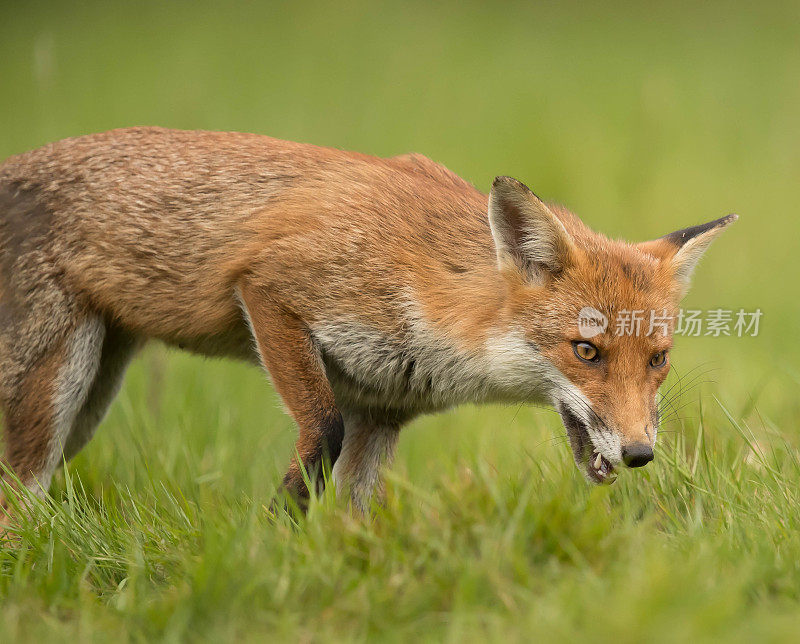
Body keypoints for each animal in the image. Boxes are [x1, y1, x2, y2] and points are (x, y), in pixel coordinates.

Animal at [0, 128, 736, 516]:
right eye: (586, 351)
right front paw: (272, 545)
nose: (640, 453)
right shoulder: (272, 291)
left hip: (86, 408)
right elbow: (317, 434)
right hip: (50, 401)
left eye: (658, 359)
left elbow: (352, 519)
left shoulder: (382, 409)